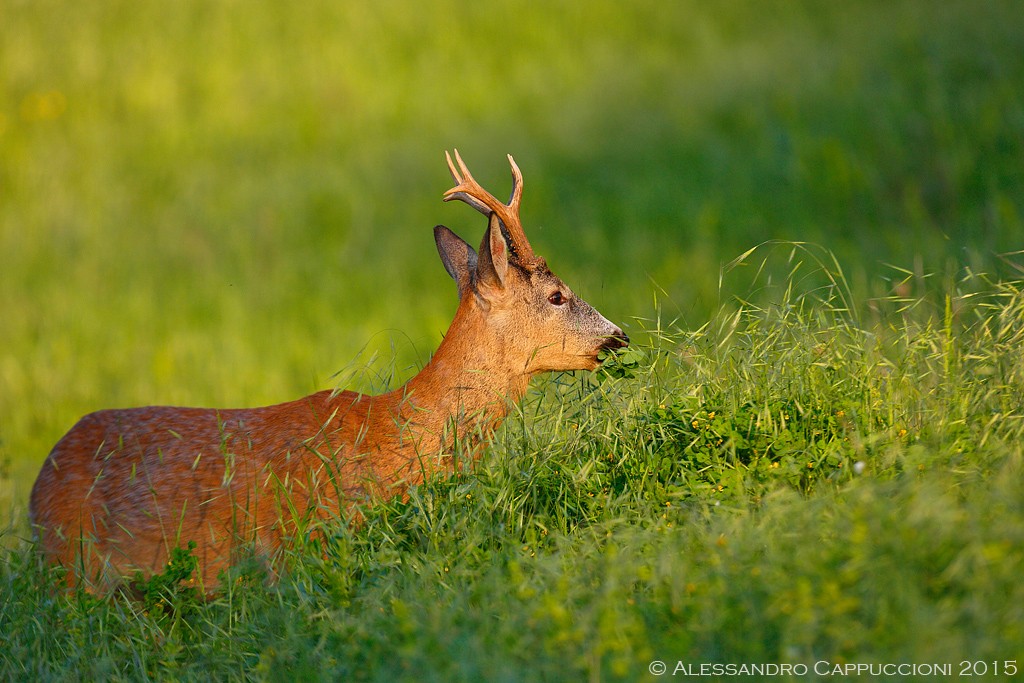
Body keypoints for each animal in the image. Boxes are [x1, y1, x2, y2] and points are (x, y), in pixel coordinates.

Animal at [29, 152, 622, 589]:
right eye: (557, 295)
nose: (619, 337)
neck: (398, 435)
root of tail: (39, 487)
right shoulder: (306, 543)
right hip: (72, 568)